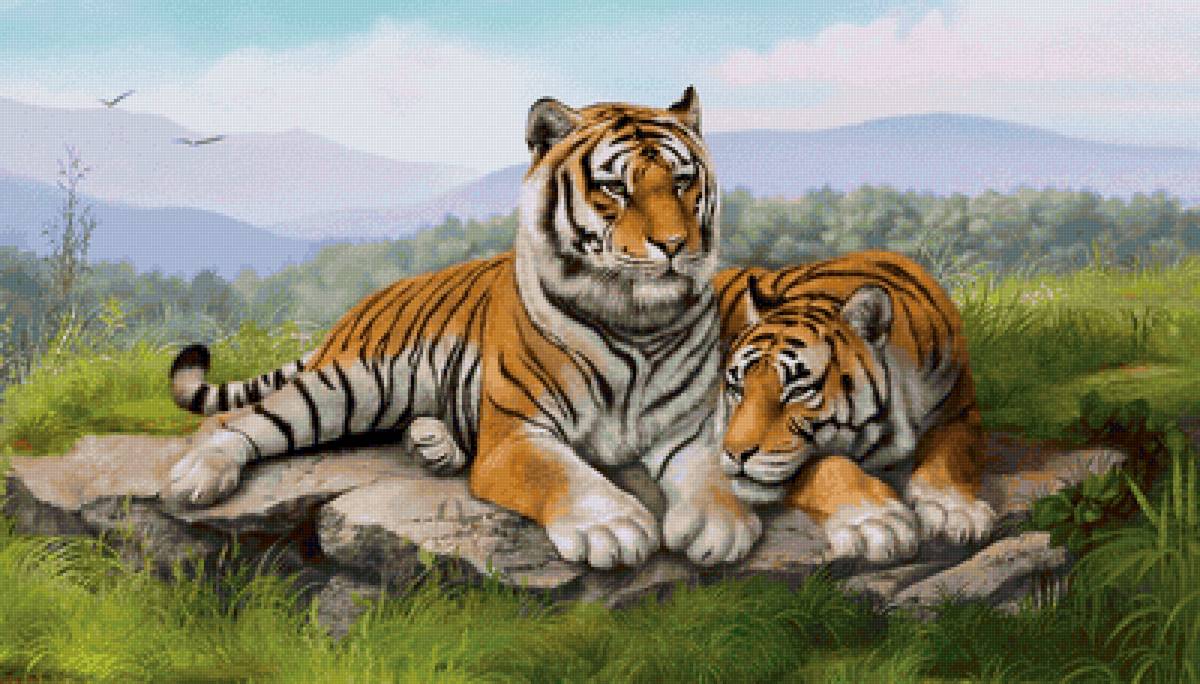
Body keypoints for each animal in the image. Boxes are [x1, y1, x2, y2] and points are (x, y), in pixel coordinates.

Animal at [165, 88, 762, 570]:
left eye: (683, 182)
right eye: (616, 188)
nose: (675, 245)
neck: (638, 324)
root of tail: (360, 306)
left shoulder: (690, 427)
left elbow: (713, 471)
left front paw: (721, 526)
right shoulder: (518, 434)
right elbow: (563, 474)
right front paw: (611, 527)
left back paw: (433, 444)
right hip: (346, 385)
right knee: (241, 419)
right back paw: (196, 475)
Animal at [711, 250, 997, 562]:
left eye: (798, 390)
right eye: (737, 387)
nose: (734, 453)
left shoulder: (961, 414)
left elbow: (949, 457)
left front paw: (952, 510)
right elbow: (830, 464)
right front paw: (878, 521)